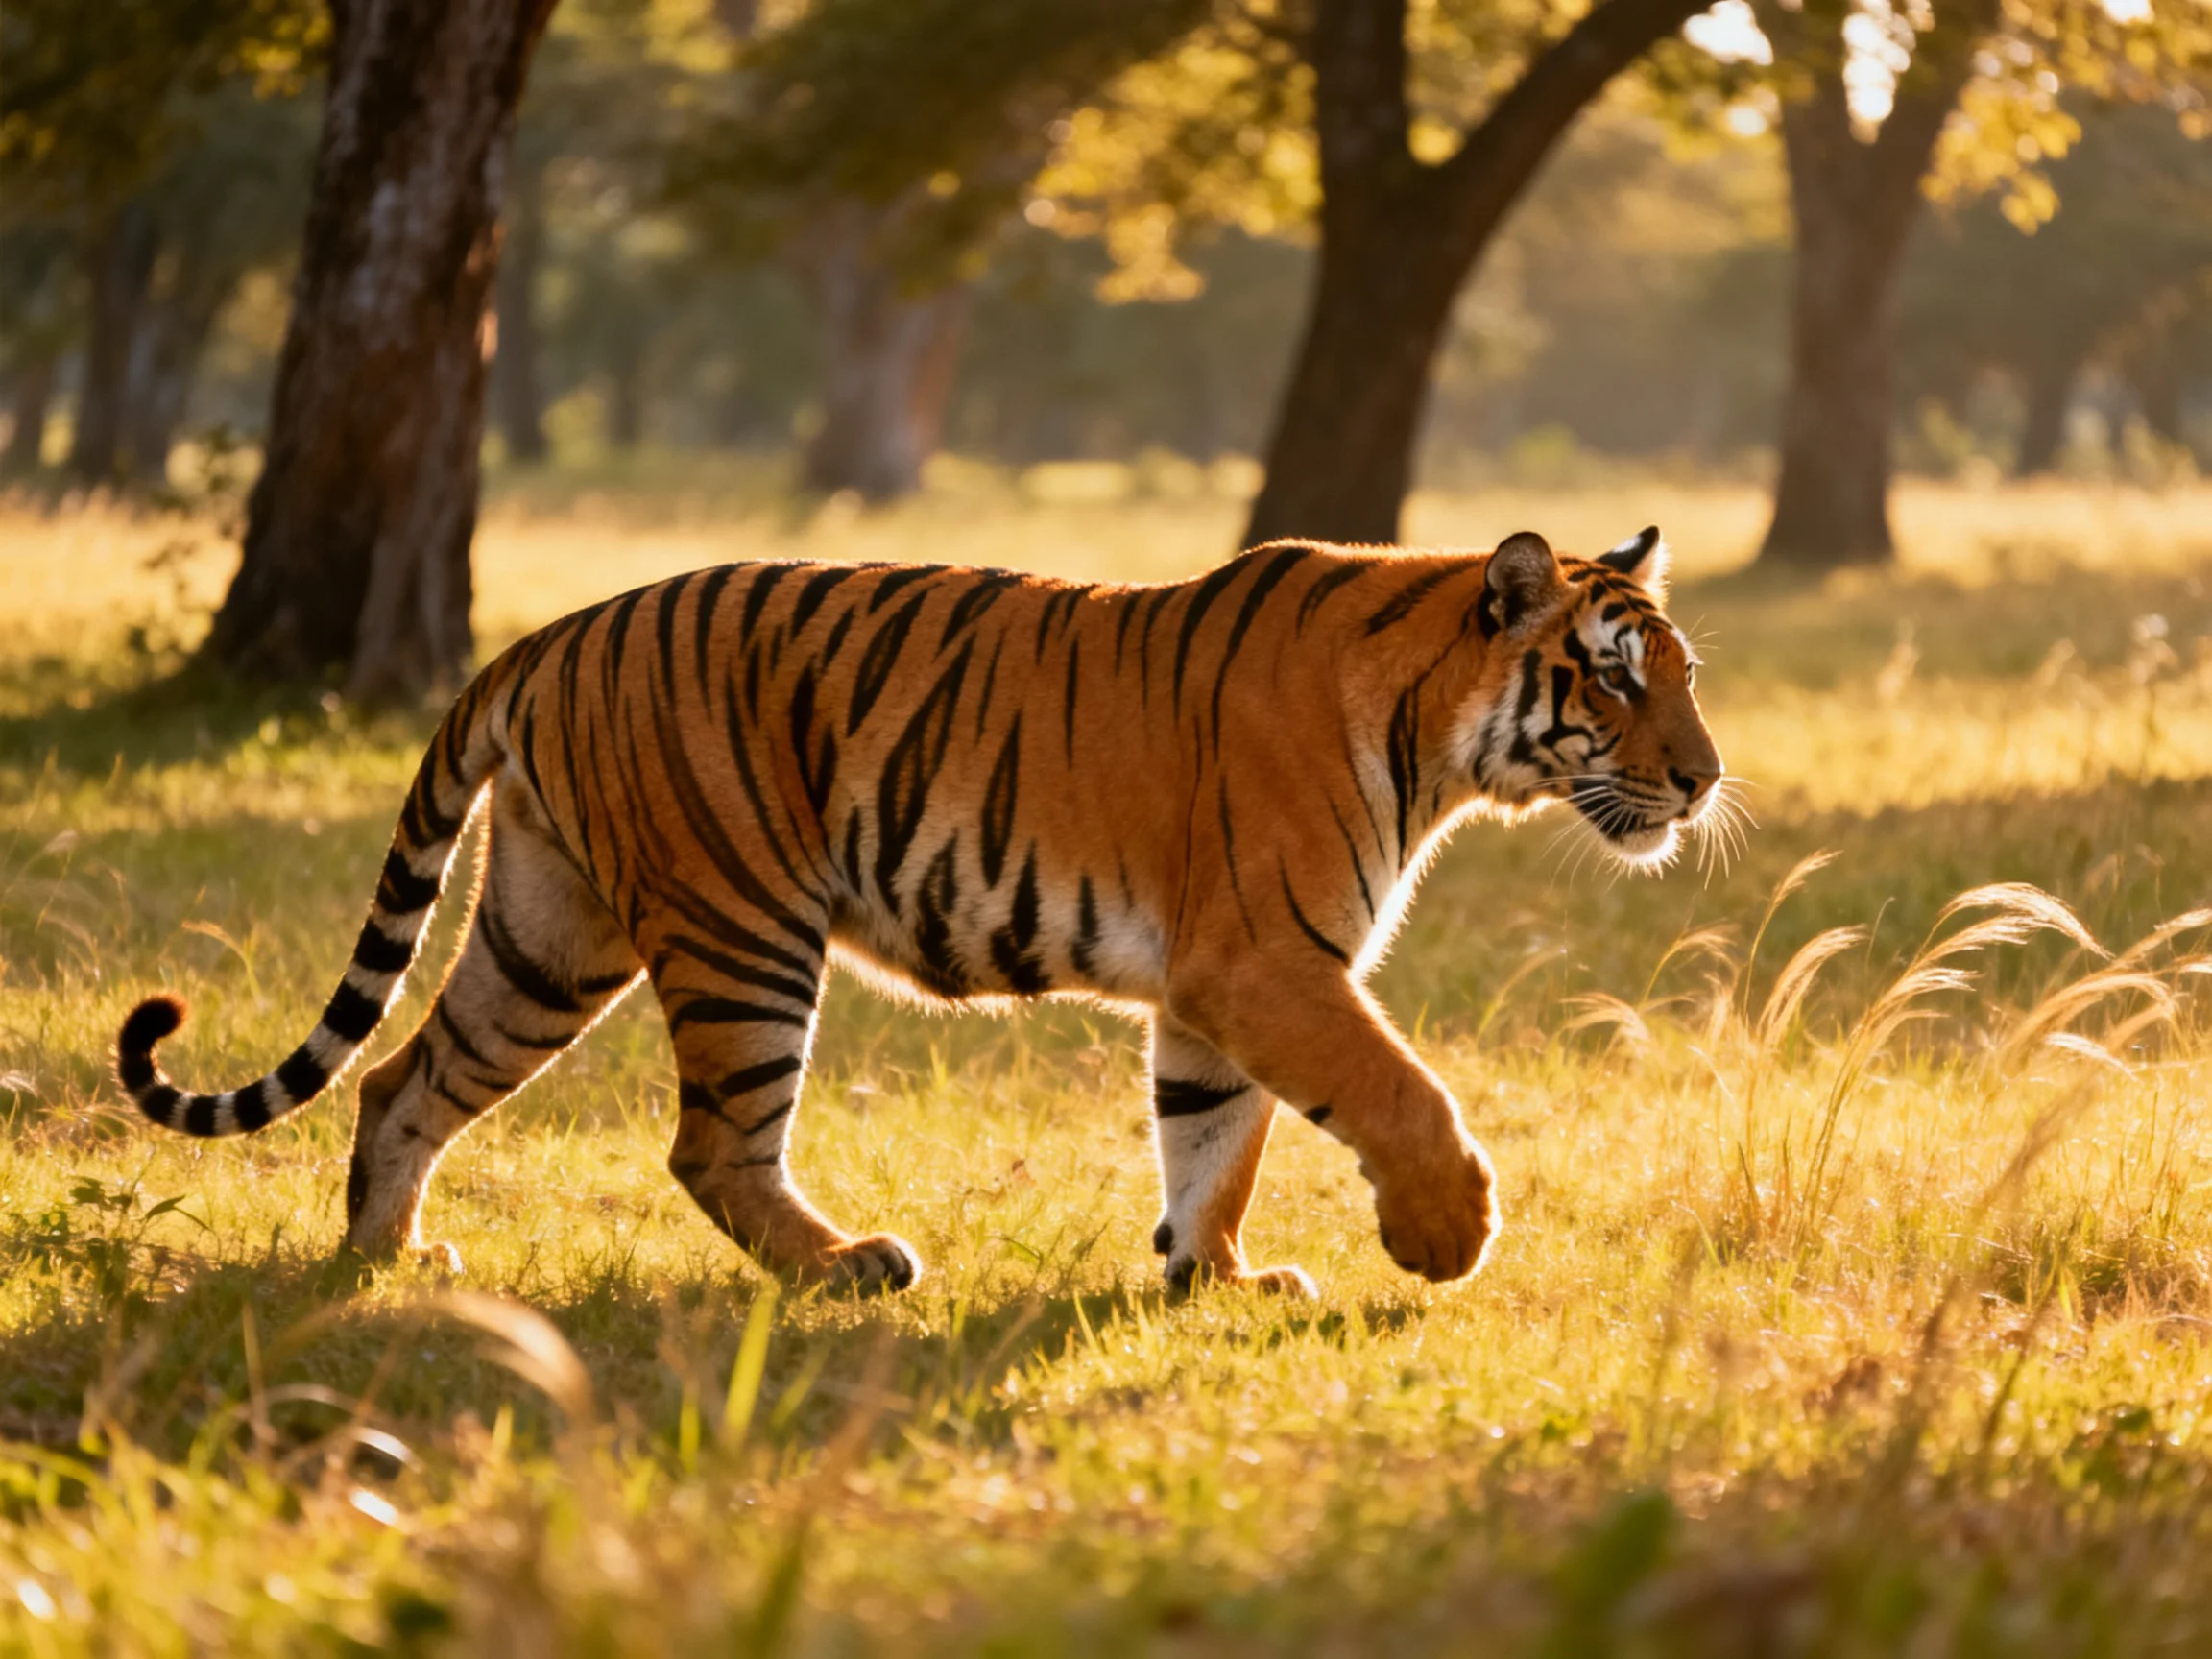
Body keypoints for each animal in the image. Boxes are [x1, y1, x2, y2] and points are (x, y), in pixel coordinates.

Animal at [115, 527, 1723, 1297]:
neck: (1437, 737)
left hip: (545, 935)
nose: (1707, 781)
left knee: (401, 1079)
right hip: (742, 930)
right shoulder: (1269, 962)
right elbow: (1398, 1091)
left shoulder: (1217, 990)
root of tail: (549, 633)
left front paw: (1216, 1279)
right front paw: (1446, 1236)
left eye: (1684, 674)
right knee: (711, 1145)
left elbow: (1214, 1141)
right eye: (1615, 677)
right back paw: (847, 1269)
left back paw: (386, 1262)